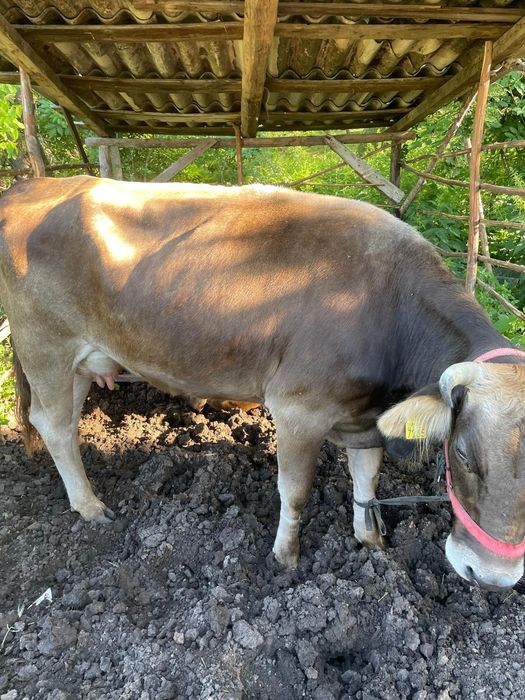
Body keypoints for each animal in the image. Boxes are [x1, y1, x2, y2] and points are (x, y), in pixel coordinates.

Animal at [2, 176, 524, 590]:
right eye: (460, 453)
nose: (492, 578)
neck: (387, 307)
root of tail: (32, 184)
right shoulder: (299, 408)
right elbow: (294, 491)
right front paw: (285, 558)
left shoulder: (366, 418)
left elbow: (367, 478)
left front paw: (370, 538)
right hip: (45, 343)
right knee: (54, 425)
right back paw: (90, 506)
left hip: (80, 360)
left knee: (59, 421)